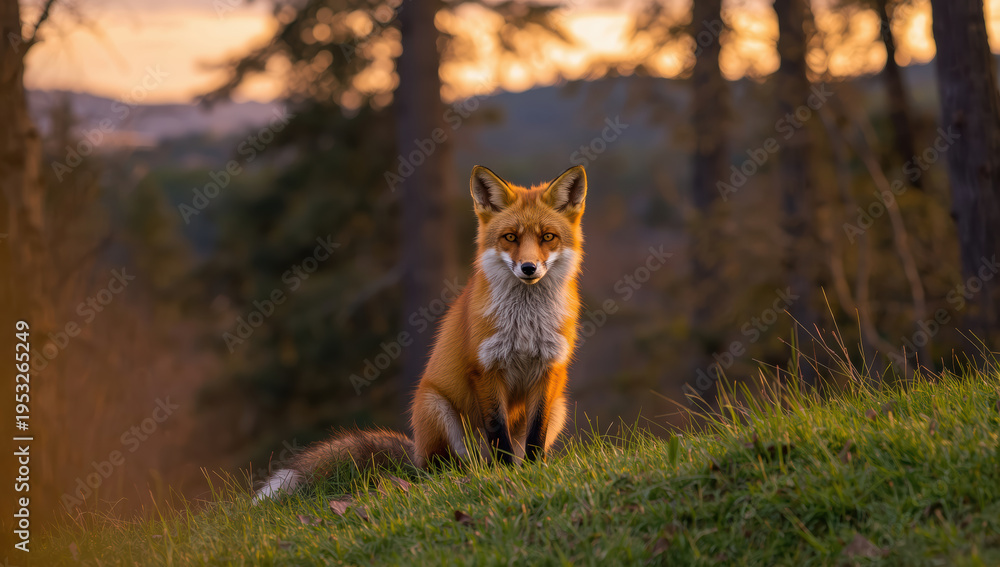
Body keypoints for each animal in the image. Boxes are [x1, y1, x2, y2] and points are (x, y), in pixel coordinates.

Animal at [254, 165, 587, 502]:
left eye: (548, 237)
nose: (529, 268)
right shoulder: (486, 369)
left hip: (560, 406)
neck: (525, 324)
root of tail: (416, 456)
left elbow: (536, 433)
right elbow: (498, 434)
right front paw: (505, 474)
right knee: (446, 469)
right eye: (510, 237)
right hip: (435, 408)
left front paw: (533, 471)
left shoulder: (549, 369)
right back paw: (470, 475)